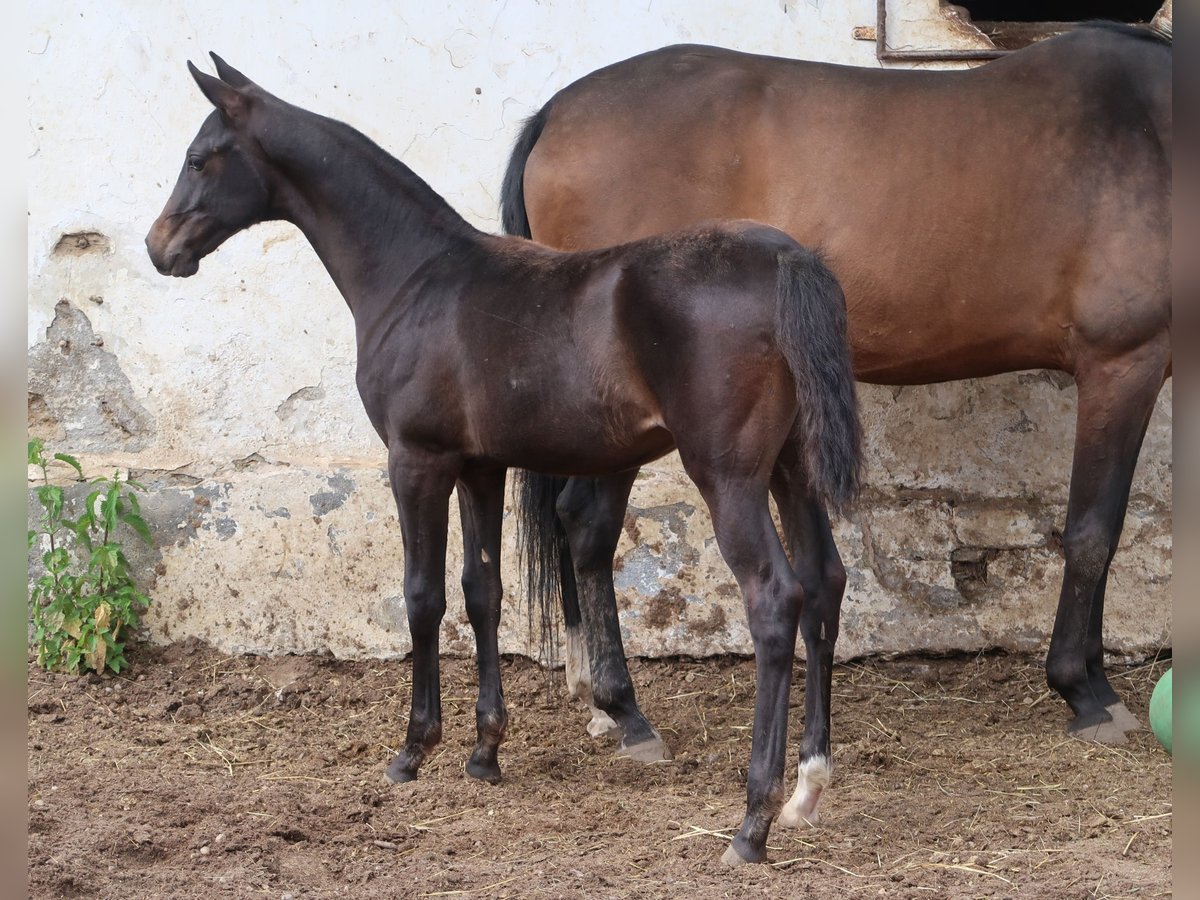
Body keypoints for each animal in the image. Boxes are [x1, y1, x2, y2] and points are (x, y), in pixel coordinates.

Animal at [145, 56, 864, 868]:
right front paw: (485, 752)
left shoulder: (416, 461)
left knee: (775, 600)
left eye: (199, 158)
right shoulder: (479, 468)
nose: (159, 248)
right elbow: (482, 591)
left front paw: (413, 750)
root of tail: (786, 259)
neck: (419, 275)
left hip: (729, 477)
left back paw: (750, 824)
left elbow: (423, 594)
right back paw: (808, 786)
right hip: (793, 470)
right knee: (825, 581)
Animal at [499, 19, 1171, 763]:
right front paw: (1085, 691)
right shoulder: (1122, 364)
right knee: (589, 525)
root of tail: (557, 112)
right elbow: (1094, 530)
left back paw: (597, 698)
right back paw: (625, 712)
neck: (1153, 126)